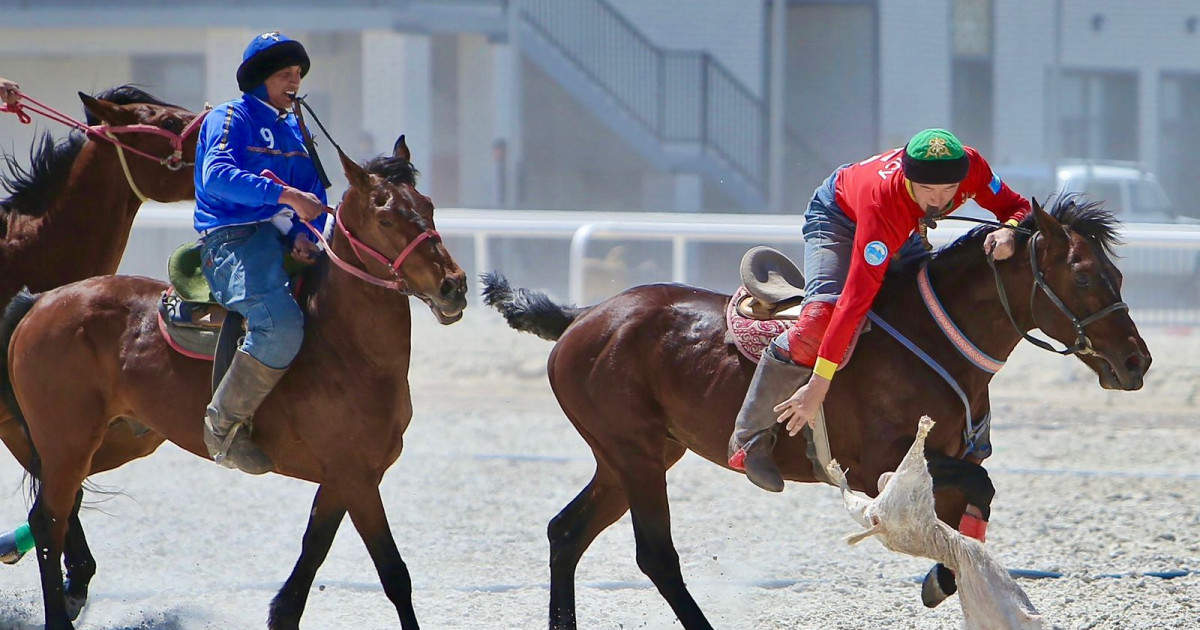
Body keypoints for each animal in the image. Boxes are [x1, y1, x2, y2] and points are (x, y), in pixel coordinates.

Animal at [1, 139, 468, 624]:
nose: (453, 285)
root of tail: (41, 301)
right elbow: (393, 573)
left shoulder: (345, 477)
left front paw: (282, 614)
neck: (343, 344)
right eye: (385, 217)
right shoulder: (357, 478)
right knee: (49, 523)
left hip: (107, 443)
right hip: (68, 444)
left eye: (428, 206)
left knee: (50, 514)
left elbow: (313, 551)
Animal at [484, 199, 1152, 628]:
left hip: (633, 457)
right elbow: (978, 488)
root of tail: (586, 315)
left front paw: (945, 578)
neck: (930, 336)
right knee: (654, 555)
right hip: (636, 454)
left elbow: (972, 502)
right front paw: (943, 579)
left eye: (1117, 272)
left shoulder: (942, 458)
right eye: (1085, 277)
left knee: (566, 533)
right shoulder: (881, 466)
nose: (1136, 360)